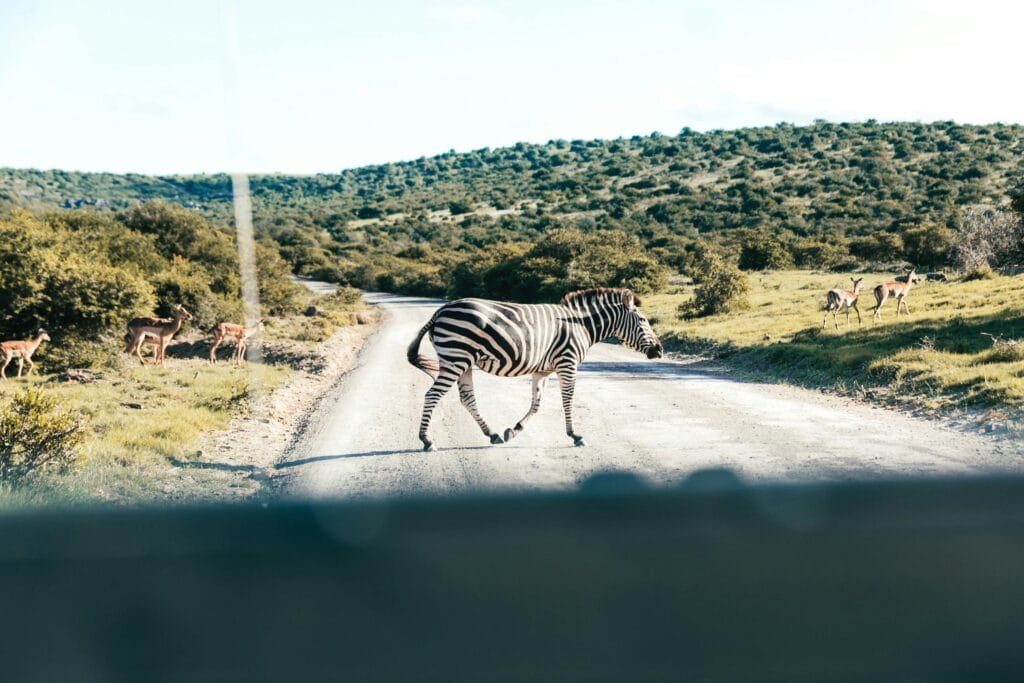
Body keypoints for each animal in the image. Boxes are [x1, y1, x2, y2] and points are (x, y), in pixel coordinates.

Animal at [406, 287, 664, 452]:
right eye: (643, 321)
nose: (659, 350)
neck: (582, 326)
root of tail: (441, 310)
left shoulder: (543, 370)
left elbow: (537, 404)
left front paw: (513, 430)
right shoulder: (567, 363)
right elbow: (567, 399)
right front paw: (575, 436)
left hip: (465, 362)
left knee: (467, 398)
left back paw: (493, 434)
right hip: (456, 358)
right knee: (432, 395)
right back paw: (426, 440)